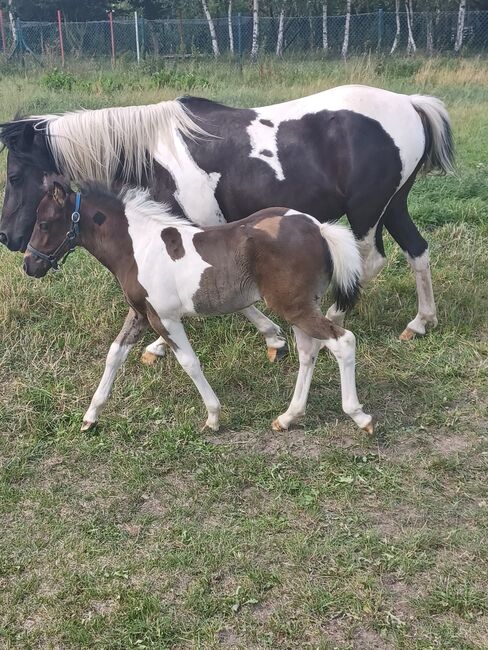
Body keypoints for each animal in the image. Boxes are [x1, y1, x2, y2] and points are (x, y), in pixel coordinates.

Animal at [0, 84, 454, 360]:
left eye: (15, 176)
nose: (8, 237)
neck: (152, 151)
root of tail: (410, 103)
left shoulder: (195, 229)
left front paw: (162, 345)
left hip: (366, 212)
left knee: (369, 262)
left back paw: (333, 321)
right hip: (393, 206)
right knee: (417, 251)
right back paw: (420, 322)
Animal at [22, 181, 372, 436]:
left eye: (45, 223)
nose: (29, 264)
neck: (137, 248)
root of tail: (319, 228)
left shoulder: (163, 318)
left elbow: (189, 362)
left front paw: (213, 417)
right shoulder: (140, 313)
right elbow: (115, 354)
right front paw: (90, 416)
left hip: (295, 307)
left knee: (342, 341)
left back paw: (359, 416)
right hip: (299, 307)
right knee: (308, 352)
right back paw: (287, 417)